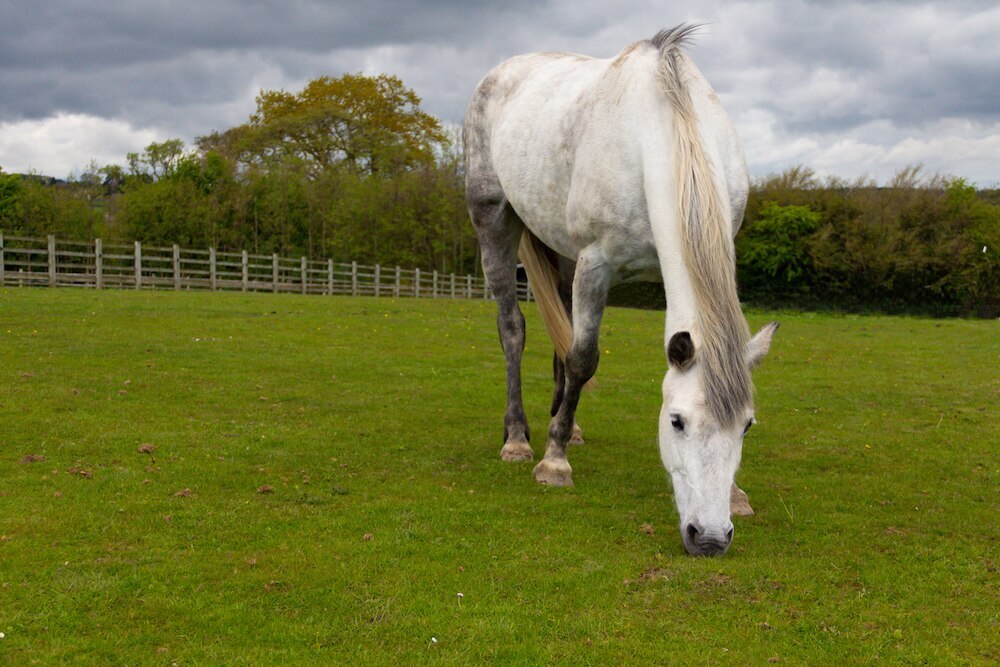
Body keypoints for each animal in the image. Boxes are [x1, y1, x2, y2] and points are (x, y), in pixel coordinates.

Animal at [463, 25, 778, 556]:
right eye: (676, 421)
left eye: (747, 425)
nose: (710, 538)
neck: (661, 130)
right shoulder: (596, 263)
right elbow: (583, 358)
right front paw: (553, 463)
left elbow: (574, 353)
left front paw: (736, 495)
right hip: (495, 221)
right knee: (514, 330)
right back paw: (519, 438)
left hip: (561, 251)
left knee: (560, 333)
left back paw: (569, 427)